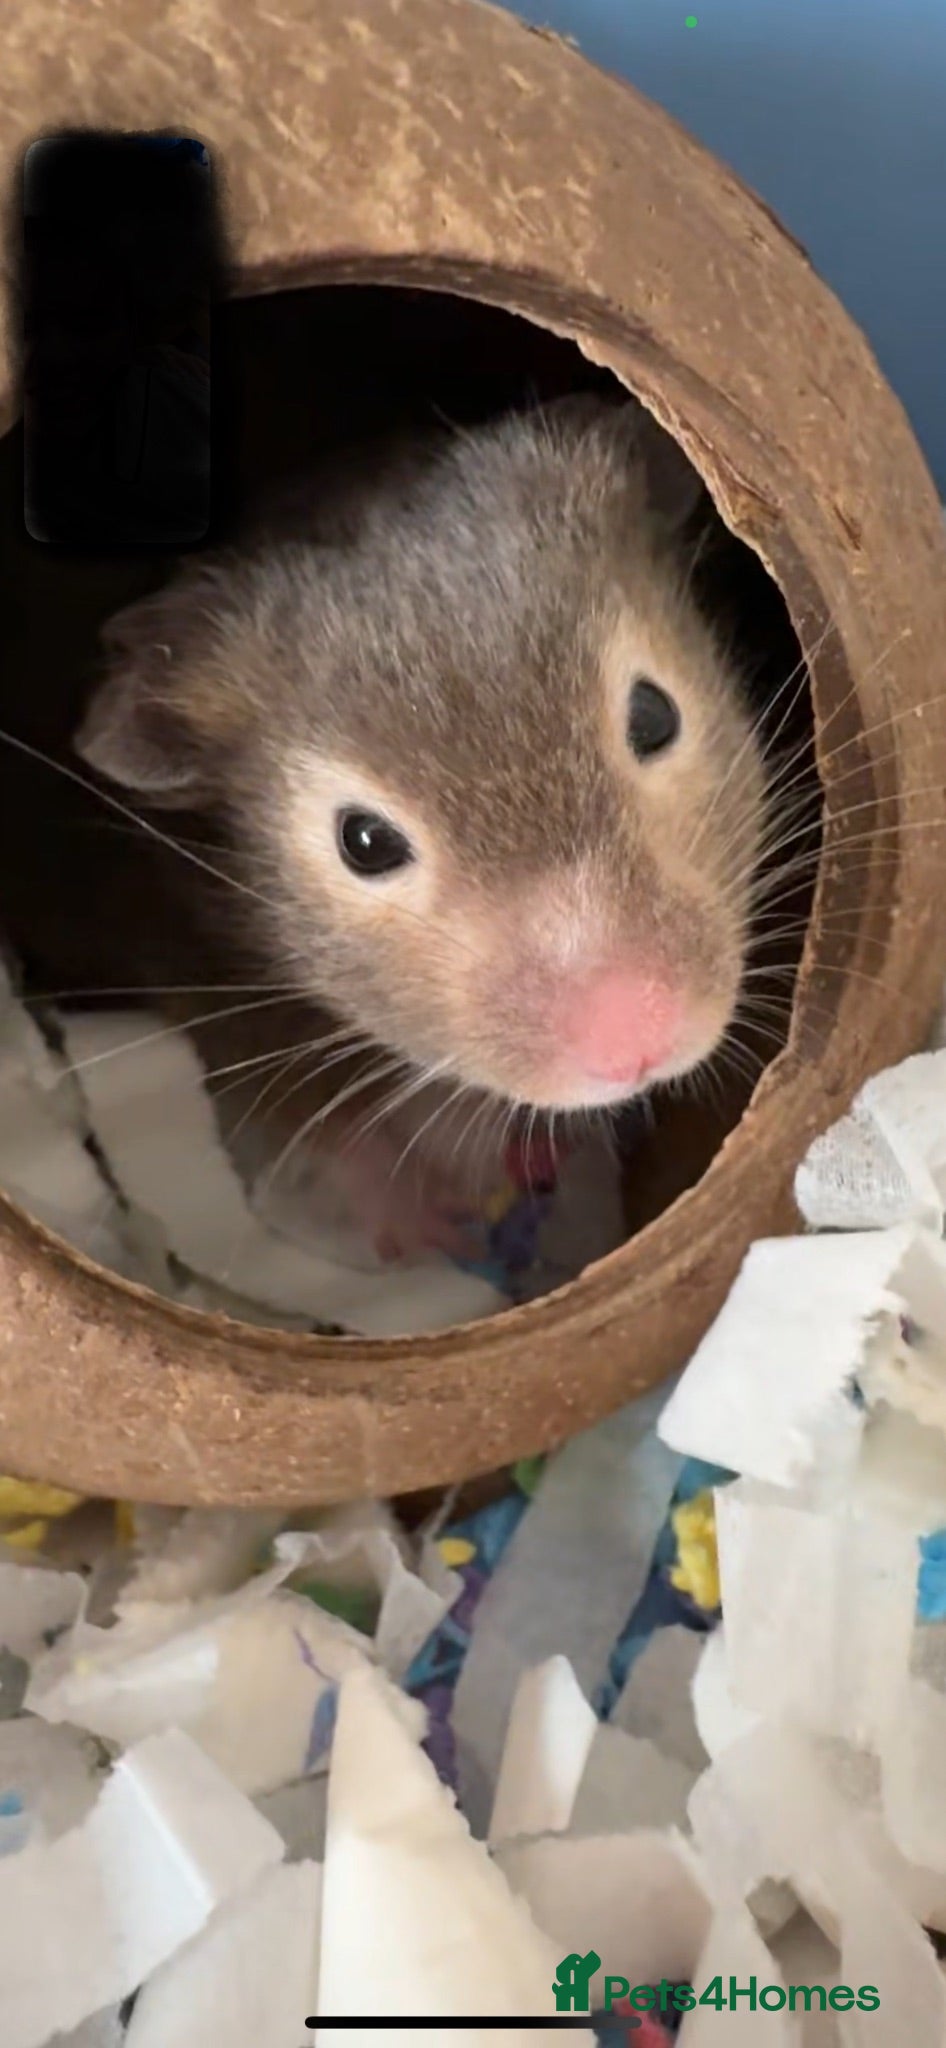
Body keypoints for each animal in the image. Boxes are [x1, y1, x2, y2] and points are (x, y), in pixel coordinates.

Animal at [3, 395, 767, 1263]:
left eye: (654, 716)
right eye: (363, 843)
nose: (637, 1042)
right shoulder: (189, 960)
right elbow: (301, 1101)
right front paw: (428, 1224)